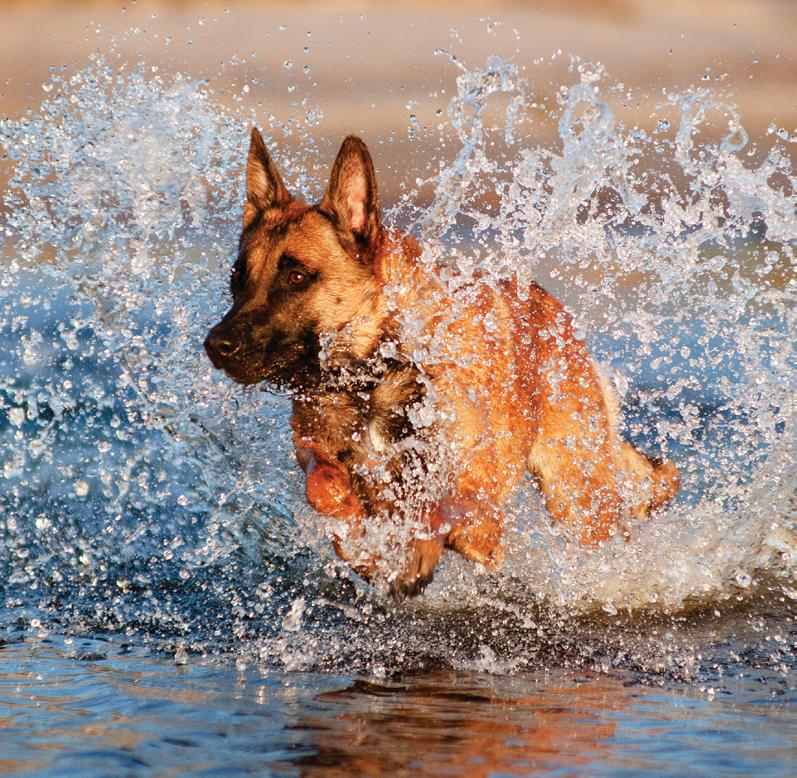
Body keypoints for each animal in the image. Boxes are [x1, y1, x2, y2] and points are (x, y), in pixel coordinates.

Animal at [205, 130, 676, 596]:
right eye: (236, 277)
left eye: (297, 276)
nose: (215, 344)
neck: (378, 367)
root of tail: (556, 313)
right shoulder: (319, 448)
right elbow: (323, 484)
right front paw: (358, 531)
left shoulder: (474, 486)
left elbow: (441, 511)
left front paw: (419, 548)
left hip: (576, 494)